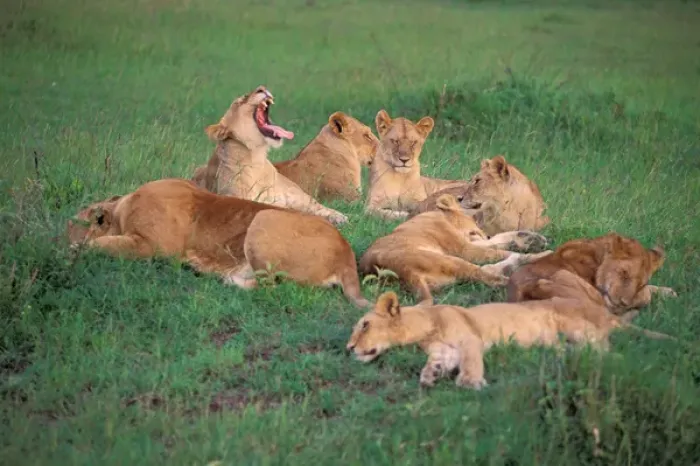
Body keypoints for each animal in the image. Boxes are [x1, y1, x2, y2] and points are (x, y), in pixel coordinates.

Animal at [67, 178, 370, 307]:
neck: (121, 208)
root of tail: (346, 252)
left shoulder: (151, 246)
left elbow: (101, 244)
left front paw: (73, 249)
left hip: (264, 218)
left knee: (272, 288)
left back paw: (224, 278)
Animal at [190, 86, 348, 225]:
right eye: (244, 98)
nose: (262, 88)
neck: (257, 158)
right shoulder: (235, 199)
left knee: (314, 205)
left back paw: (339, 217)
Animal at [346, 289, 673, 389]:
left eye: (364, 325)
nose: (348, 348)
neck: (426, 326)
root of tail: (607, 314)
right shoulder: (444, 350)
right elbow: (437, 362)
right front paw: (430, 375)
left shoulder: (470, 340)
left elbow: (471, 361)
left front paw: (470, 382)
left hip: (576, 326)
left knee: (607, 351)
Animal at [358, 193, 553, 304]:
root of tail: (403, 272)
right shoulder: (466, 249)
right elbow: (498, 249)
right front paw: (536, 249)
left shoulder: (468, 243)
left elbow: (498, 241)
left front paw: (530, 238)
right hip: (452, 260)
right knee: (493, 278)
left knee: (489, 271)